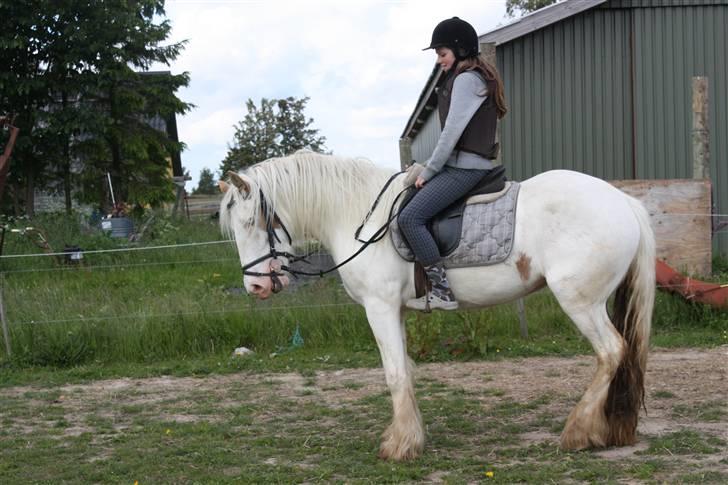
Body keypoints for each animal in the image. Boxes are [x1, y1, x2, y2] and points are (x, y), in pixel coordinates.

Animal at [219, 149, 656, 460]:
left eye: (250, 223)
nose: (255, 286)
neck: (359, 215)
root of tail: (623, 201)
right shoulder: (394, 311)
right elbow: (406, 373)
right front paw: (411, 437)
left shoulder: (379, 307)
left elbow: (394, 374)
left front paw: (399, 446)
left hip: (580, 300)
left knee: (611, 352)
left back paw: (578, 432)